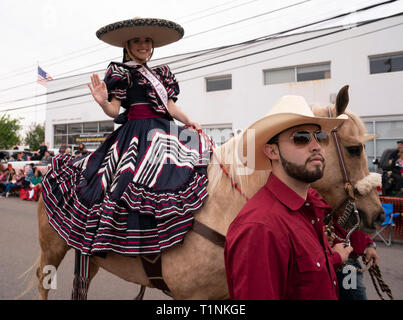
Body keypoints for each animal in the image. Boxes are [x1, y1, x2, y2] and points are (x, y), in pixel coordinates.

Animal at [35, 85, 386, 300]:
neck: (225, 207)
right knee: (43, 281)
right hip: (53, 251)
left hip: (88, 258)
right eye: (354, 149)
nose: (378, 214)